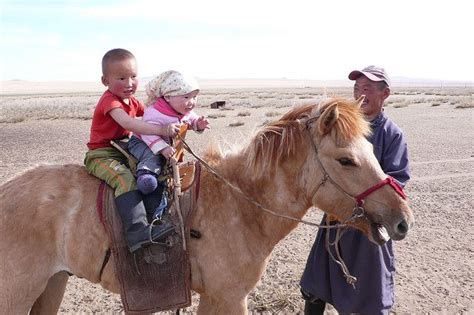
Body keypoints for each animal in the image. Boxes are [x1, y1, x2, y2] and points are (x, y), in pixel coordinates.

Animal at [0, 97, 412, 314]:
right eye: (346, 160)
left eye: (373, 149)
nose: (402, 218)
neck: (241, 205)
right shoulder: (228, 297)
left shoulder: (216, 297)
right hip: (17, 292)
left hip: (51, 284)